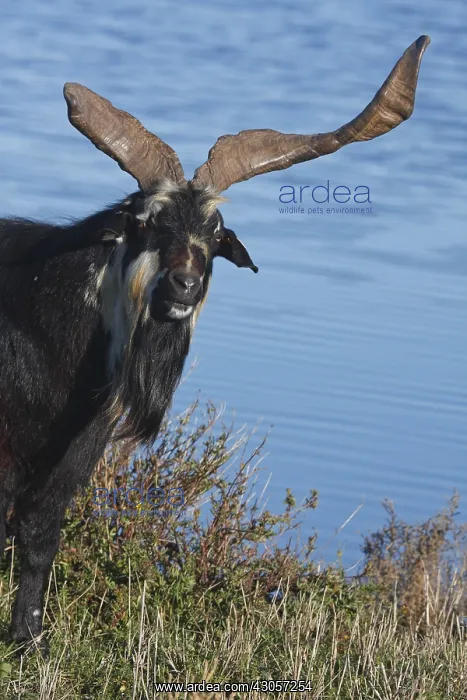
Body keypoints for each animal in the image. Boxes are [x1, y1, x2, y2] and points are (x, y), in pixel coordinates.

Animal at [0, 36, 429, 654]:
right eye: (146, 222)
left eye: (216, 231)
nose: (184, 285)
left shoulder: (74, 454)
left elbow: (38, 536)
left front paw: (29, 644)